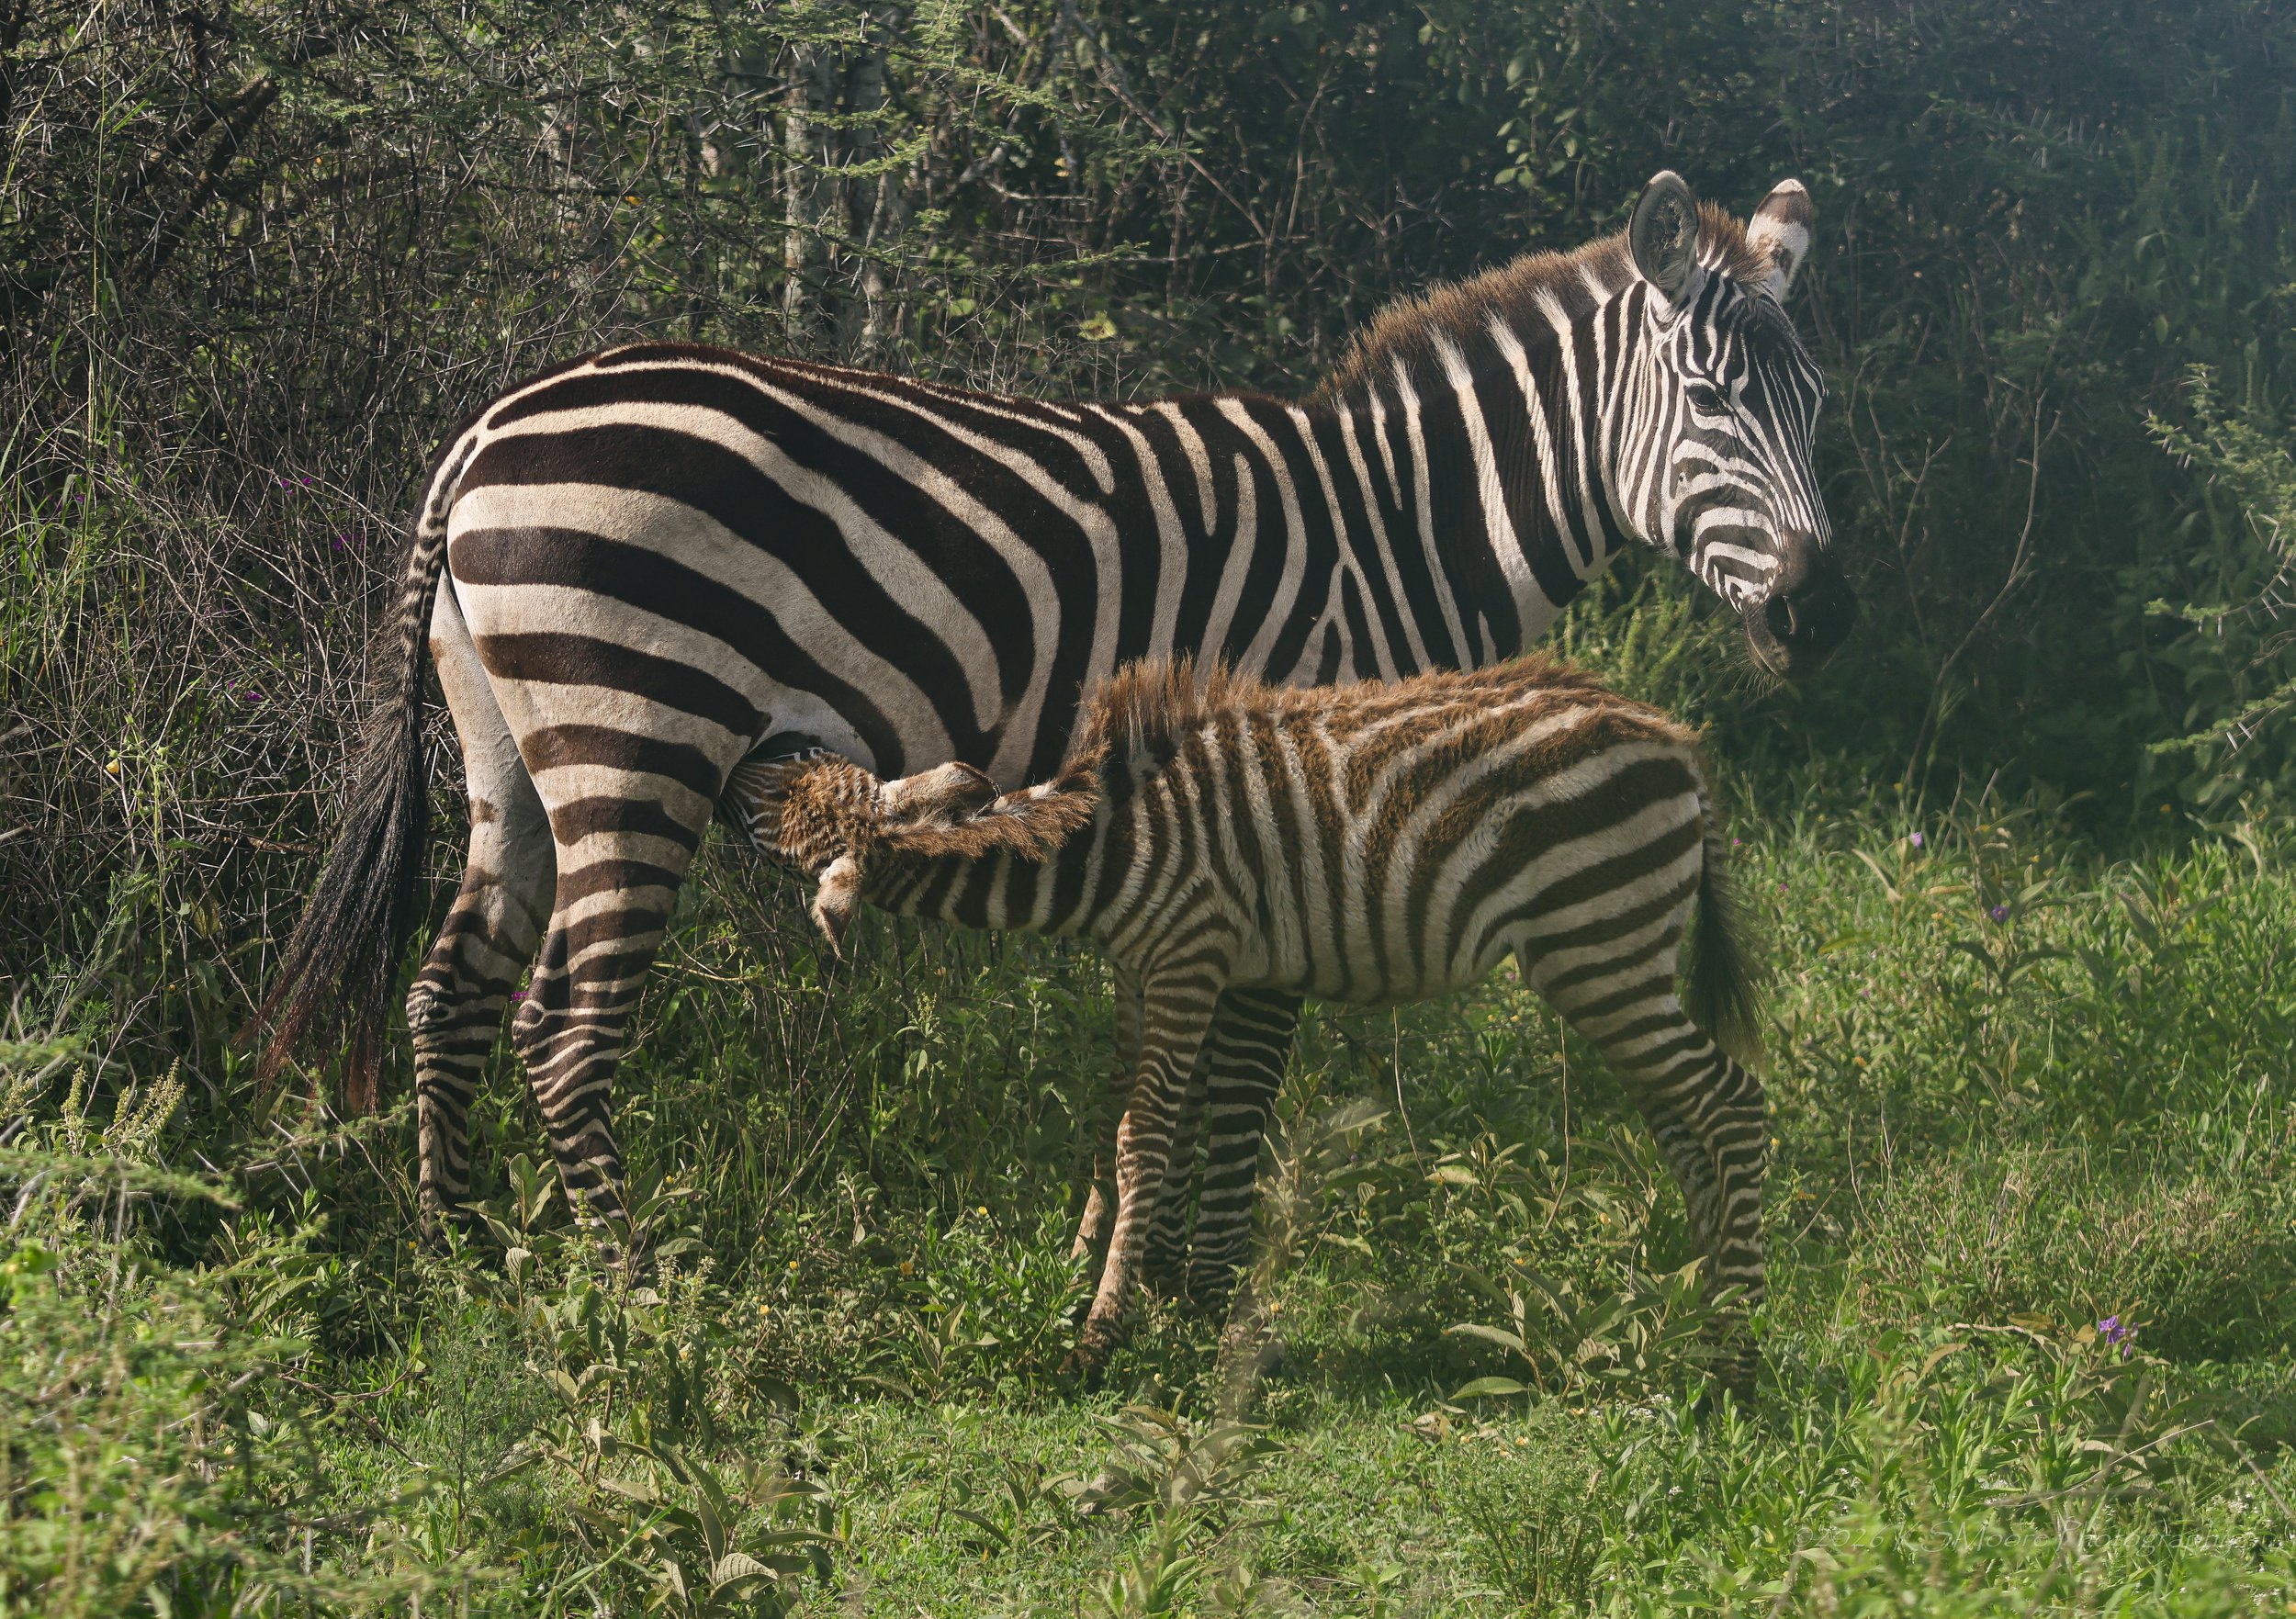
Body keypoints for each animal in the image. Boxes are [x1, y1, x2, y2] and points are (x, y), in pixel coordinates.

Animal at [245, 170, 1846, 1248]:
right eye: (1712, 401)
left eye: (1818, 405)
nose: (1816, 614)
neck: (1391, 526)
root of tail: (485, 427)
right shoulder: (1295, 784)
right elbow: (1241, 1073)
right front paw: (1201, 1284)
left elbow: (1185, 1062)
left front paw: (1138, 1254)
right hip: (637, 731)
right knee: (567, 1028)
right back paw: (637, 1297)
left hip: (509, 741)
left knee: (451, 986)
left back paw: (471, 1258)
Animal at [734, 655, 1769, 1388]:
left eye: (788, 830)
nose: (752, 761)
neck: (1101, 851)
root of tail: (1676, 739)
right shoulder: (1139, 973)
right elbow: (1109, 1116)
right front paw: (1085, 1271)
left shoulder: (1190, 954)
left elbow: (1142, 1137)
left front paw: (1095, 1337)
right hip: (1610, 956)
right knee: (1684, 1120)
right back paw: (1700, 1311)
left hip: (1596, 942)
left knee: (1732, 1105)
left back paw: (1736, 1356)